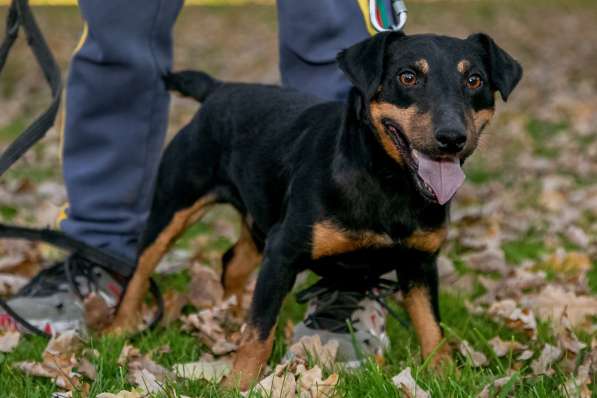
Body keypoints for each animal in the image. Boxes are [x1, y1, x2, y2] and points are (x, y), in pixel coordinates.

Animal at [107, 31, 520, 388]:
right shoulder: (282, 252)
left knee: (232, 262)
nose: (452, 138)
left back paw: (228, 315)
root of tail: (217, 89)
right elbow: (260, 331)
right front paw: (238, 383)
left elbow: (431, 326)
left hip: (259, 222)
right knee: (141, 266)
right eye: (408, 76)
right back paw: (119, 328)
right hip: (175, 204)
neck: (388, 182)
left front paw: (445, 375)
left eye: (475, 81)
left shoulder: (420, 263)